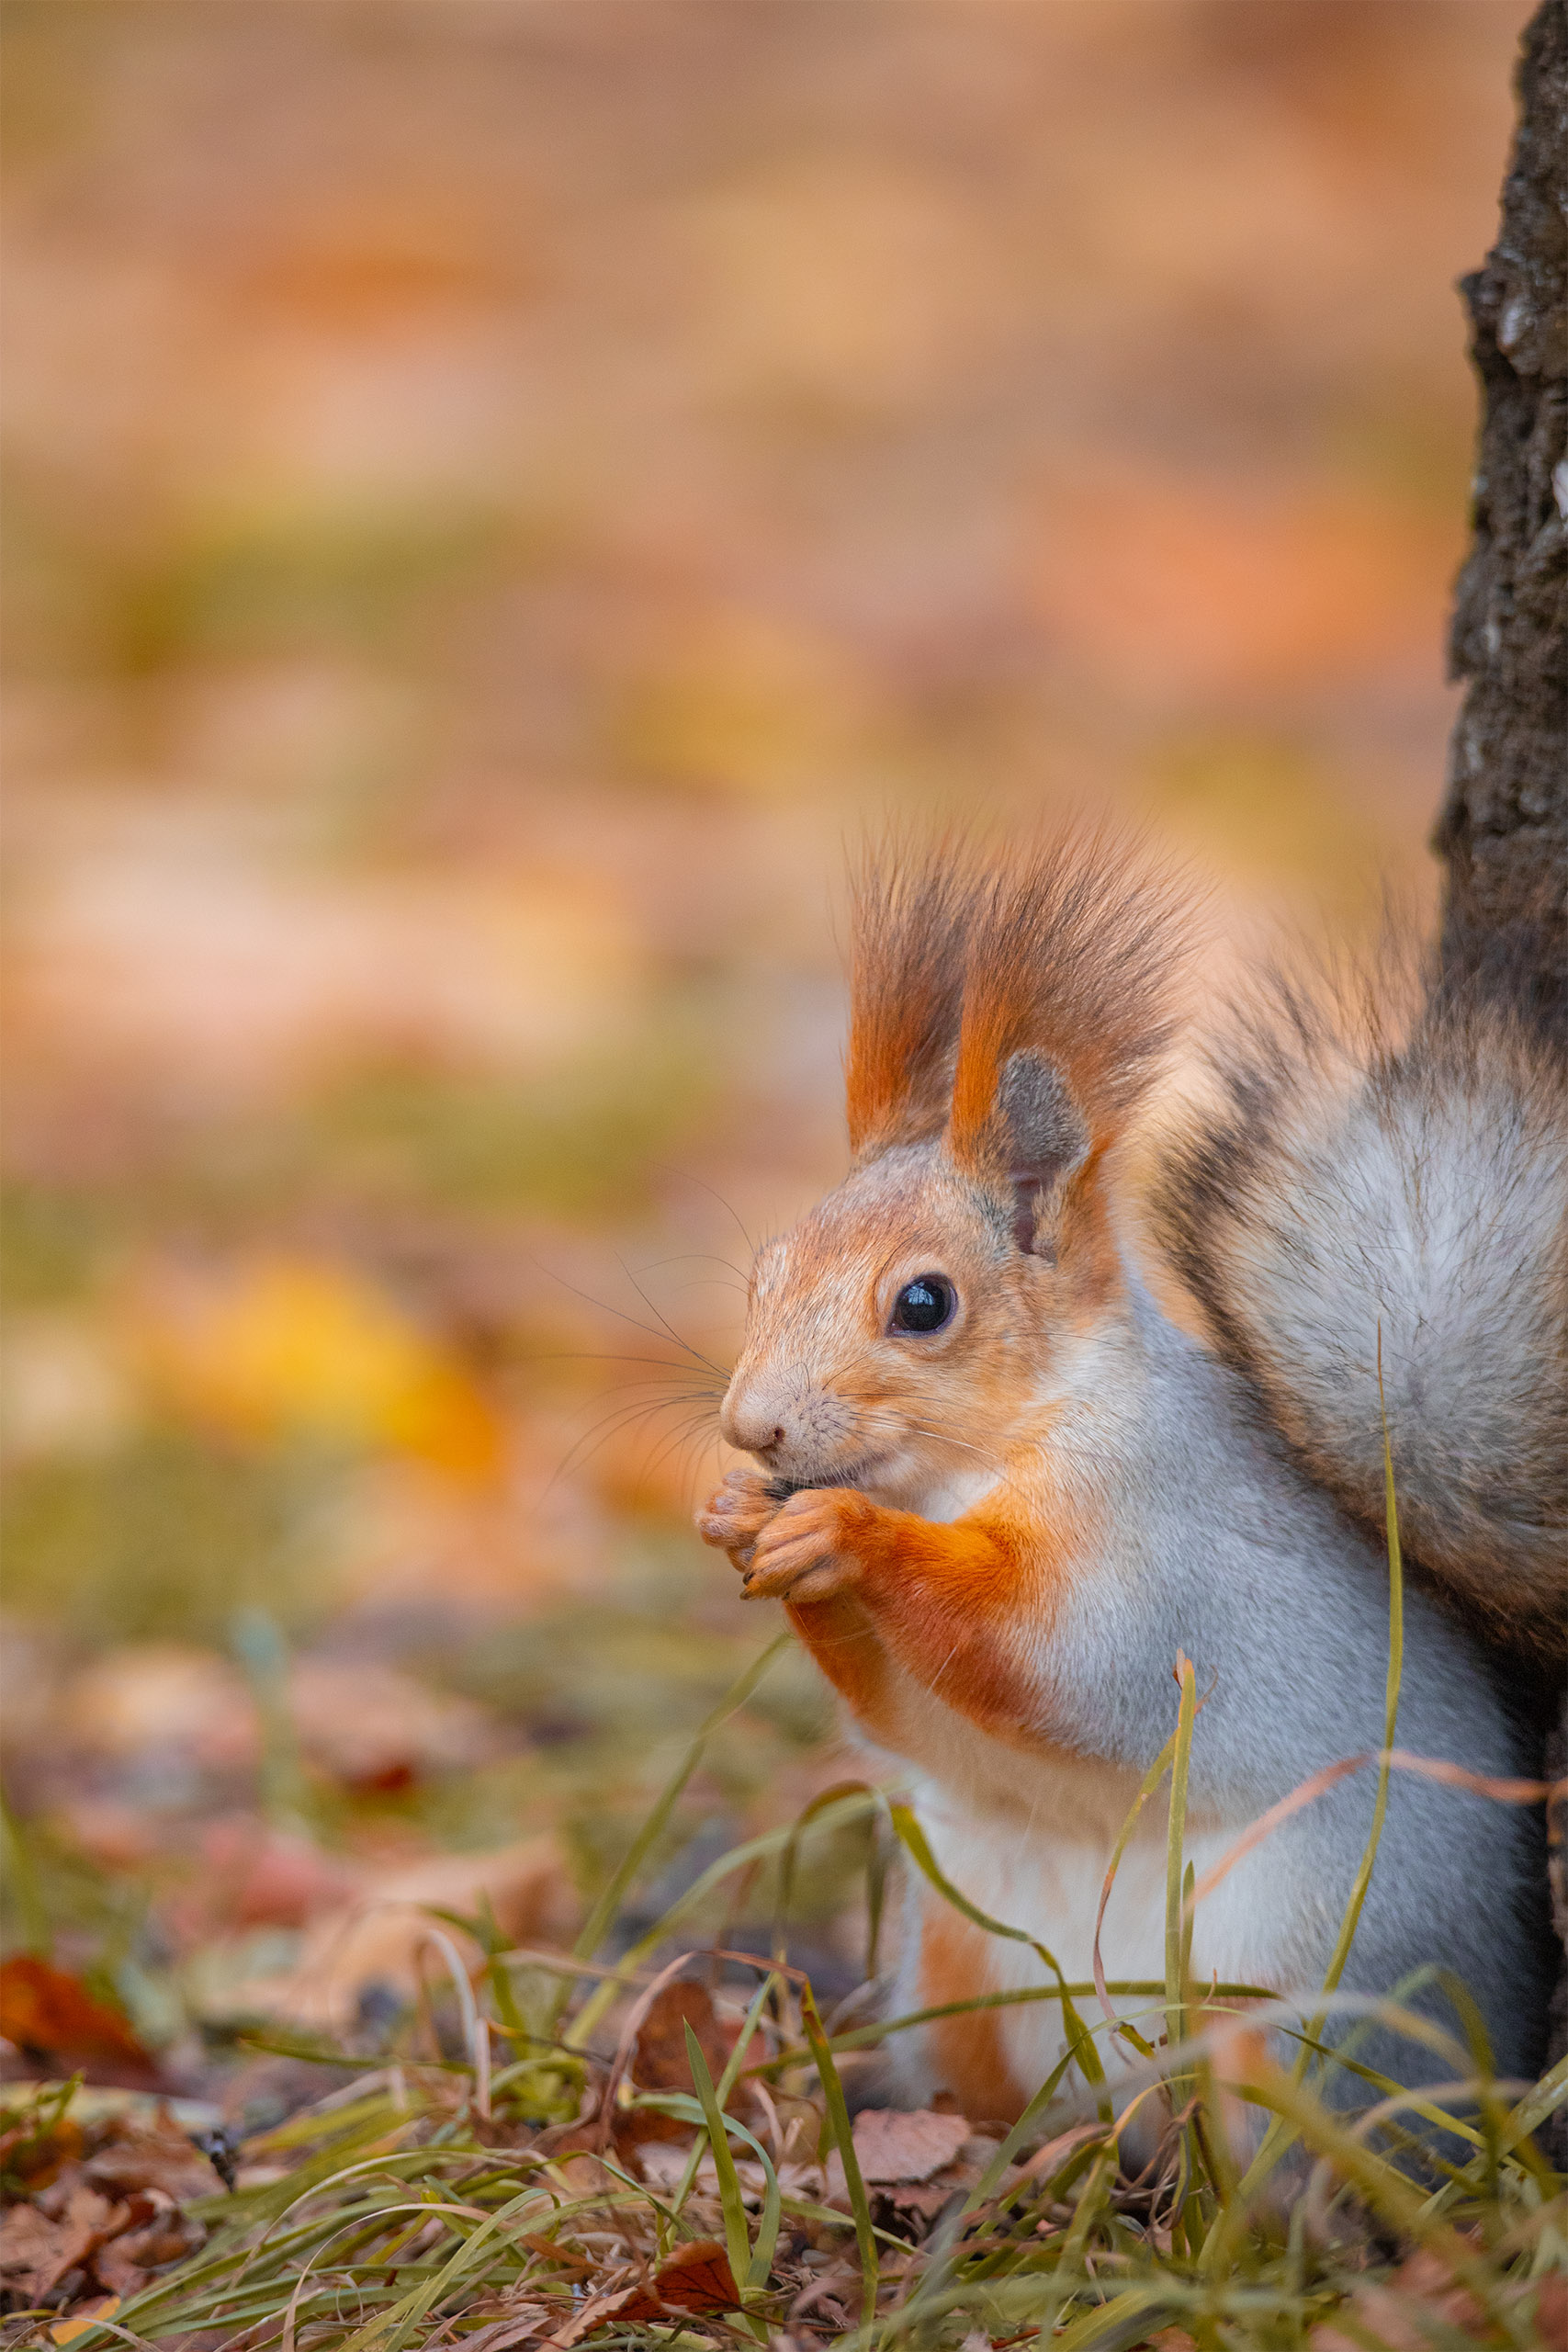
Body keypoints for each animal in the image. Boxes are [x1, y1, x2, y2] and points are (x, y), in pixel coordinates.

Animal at [700, 846, 1568, 2135]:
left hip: (1298, 2003)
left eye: (924, 1304)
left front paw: (848, 1533)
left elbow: (1048, 1654)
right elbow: (903, 1716)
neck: (962, 1472)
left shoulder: (1152, 1550)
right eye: (763, 1273)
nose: (750, 1427)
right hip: (963, 1953)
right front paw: (736, 1519)